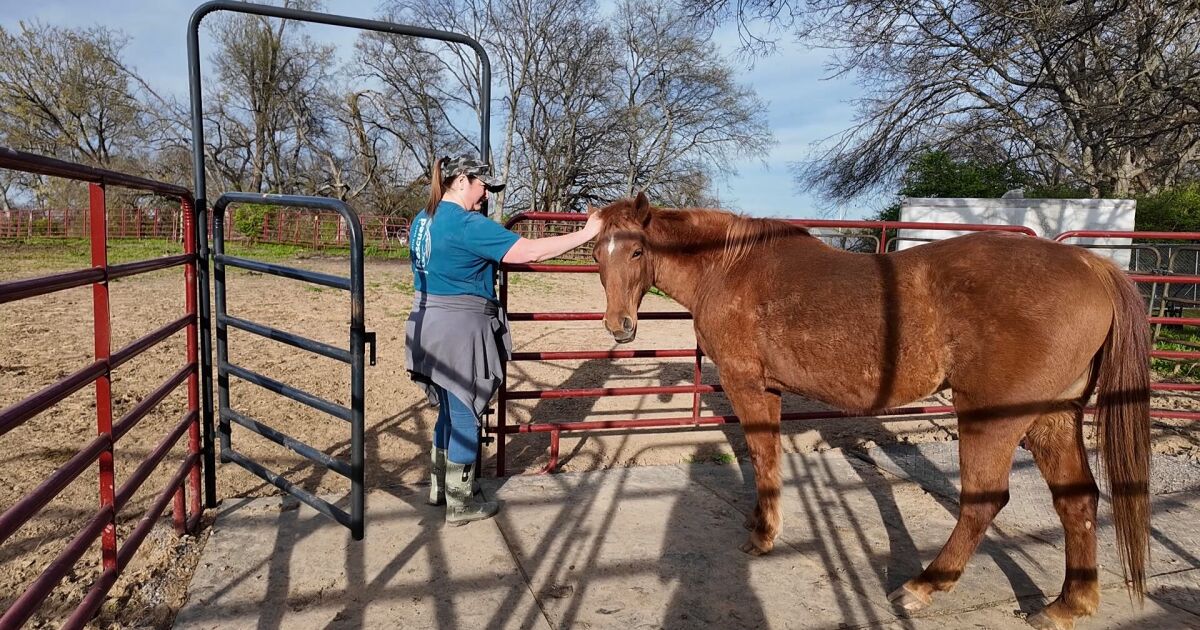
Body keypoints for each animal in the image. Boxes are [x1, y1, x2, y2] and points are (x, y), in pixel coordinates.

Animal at [590, 193, 1150, 630]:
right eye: (597, 253)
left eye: (637, 250)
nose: (619, 326)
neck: (730, 267)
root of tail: (1092, 267)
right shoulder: (768, 389)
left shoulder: (748, 386)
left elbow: (763, 456)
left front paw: (763, 535)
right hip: (1054, 418)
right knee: (1077, 502)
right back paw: (1066, 605)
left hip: (994, 419)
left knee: (983, 502)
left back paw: (923, 586)